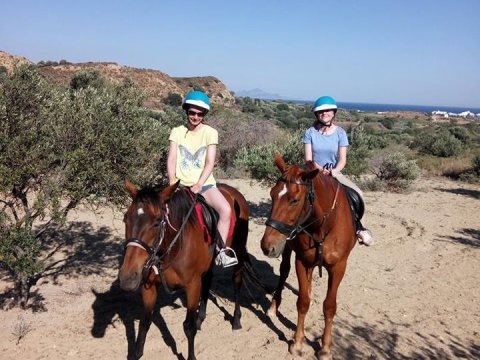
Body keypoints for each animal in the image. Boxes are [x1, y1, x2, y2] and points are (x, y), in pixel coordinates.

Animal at [118, 180, 249, 360]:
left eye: (157, 222)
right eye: (126, 219)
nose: (128, 278)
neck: (173, 247)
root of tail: (234, 191)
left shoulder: (192, 285)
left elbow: (188, 327)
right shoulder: (149, 286)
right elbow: (145, 322)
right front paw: (136, 353)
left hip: (239, 252)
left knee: (237, 283)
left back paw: (236, 320)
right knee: (207, 284)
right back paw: (201, 319)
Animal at [262, 155, 356, 360]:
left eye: (294, 200)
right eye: (272, 194)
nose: (266, 246)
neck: (322, 226)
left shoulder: (339, 267)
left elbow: (329, 306)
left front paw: (325, 348)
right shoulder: (302, 261)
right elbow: (302, 302)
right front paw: (297, 343)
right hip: (287, 247)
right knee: (284, 271)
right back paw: (273, 307)